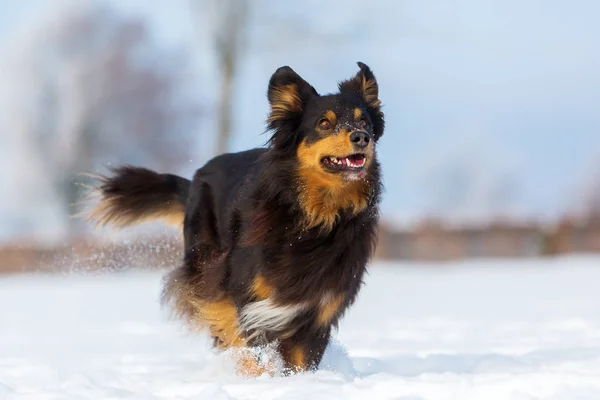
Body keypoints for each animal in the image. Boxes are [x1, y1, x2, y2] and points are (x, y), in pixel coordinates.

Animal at [89, 61, 384, 376]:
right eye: (324, 124)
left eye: (364, 122)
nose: (361, 138)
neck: (313, 217)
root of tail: (196, 179)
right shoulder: (252, 301)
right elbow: (254, 349)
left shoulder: (318, 310)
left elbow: (301, 361)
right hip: (208, 267)